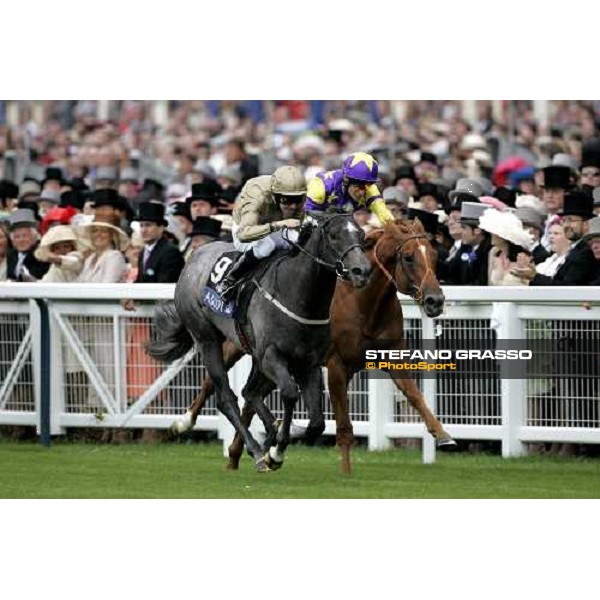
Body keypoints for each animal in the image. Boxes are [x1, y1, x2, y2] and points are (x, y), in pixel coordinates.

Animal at [146, 213, 370, 472]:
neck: (298, 296)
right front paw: (275, 451)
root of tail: (195, 255)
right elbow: (290, 394)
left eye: (362, 234)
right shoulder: (272, 356)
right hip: (208, 339)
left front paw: (276, 442)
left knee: (249, 392)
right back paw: (252, 448)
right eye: (334, 236)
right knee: (227, 397)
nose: (362, 271)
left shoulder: (307, 362)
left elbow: (316, 423)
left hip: (250, 352)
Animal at [171, 218, 458, 472]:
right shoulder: (335, 365)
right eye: (408, 257)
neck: (362, 305)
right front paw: (345, 471)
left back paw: (244, 451)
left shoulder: (391, 356)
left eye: (434, 255)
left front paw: (443, 434)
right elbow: (343, 426)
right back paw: (186, 422)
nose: (435, 300)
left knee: (249, 395)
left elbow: (415, 394)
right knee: (218, 388)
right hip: (225, 343)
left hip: (263, 358)